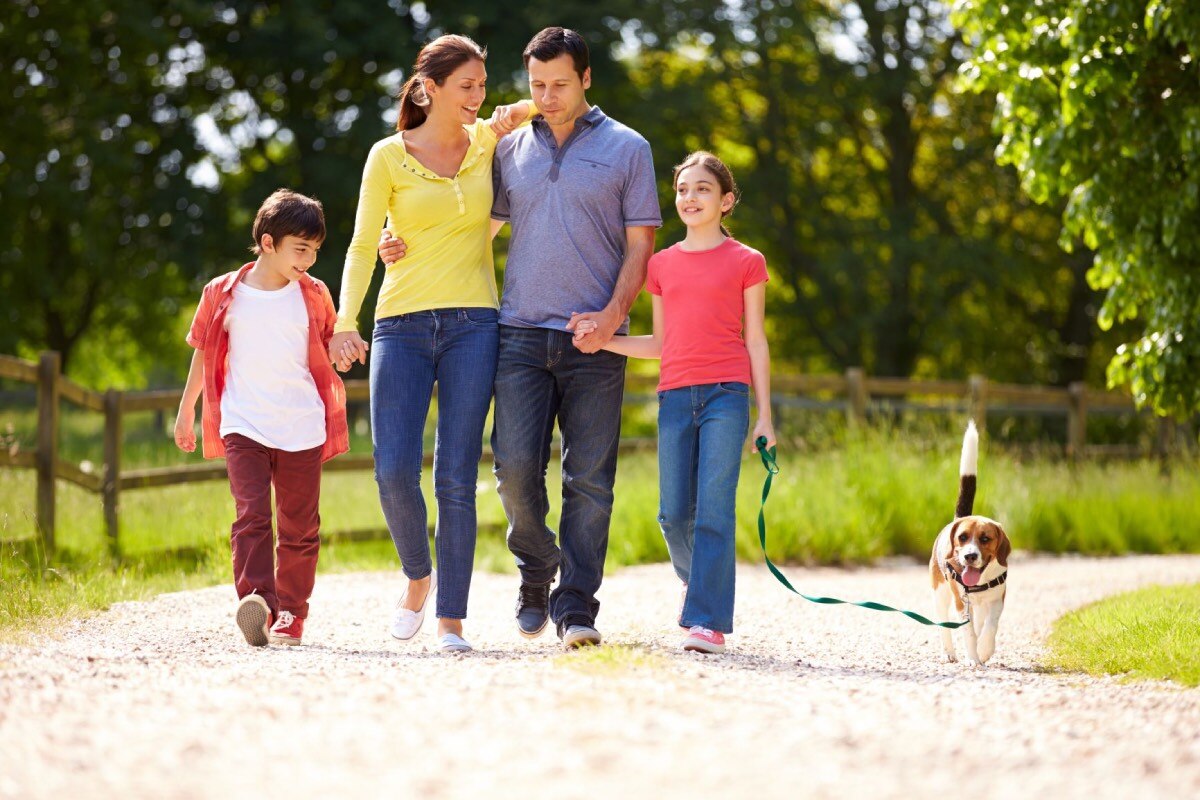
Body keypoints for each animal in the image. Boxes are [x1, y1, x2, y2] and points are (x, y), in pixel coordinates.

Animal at [926, 422, 1012, 666]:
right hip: (940, 594)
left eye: (985, 539)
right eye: (962, 538)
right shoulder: (961, 603)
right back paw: (948, 652)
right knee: (944, 625)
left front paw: (984, 650)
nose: (970, 556)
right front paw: (973, 658)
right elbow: (969, 632)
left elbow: (990, 627)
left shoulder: (996, 600)